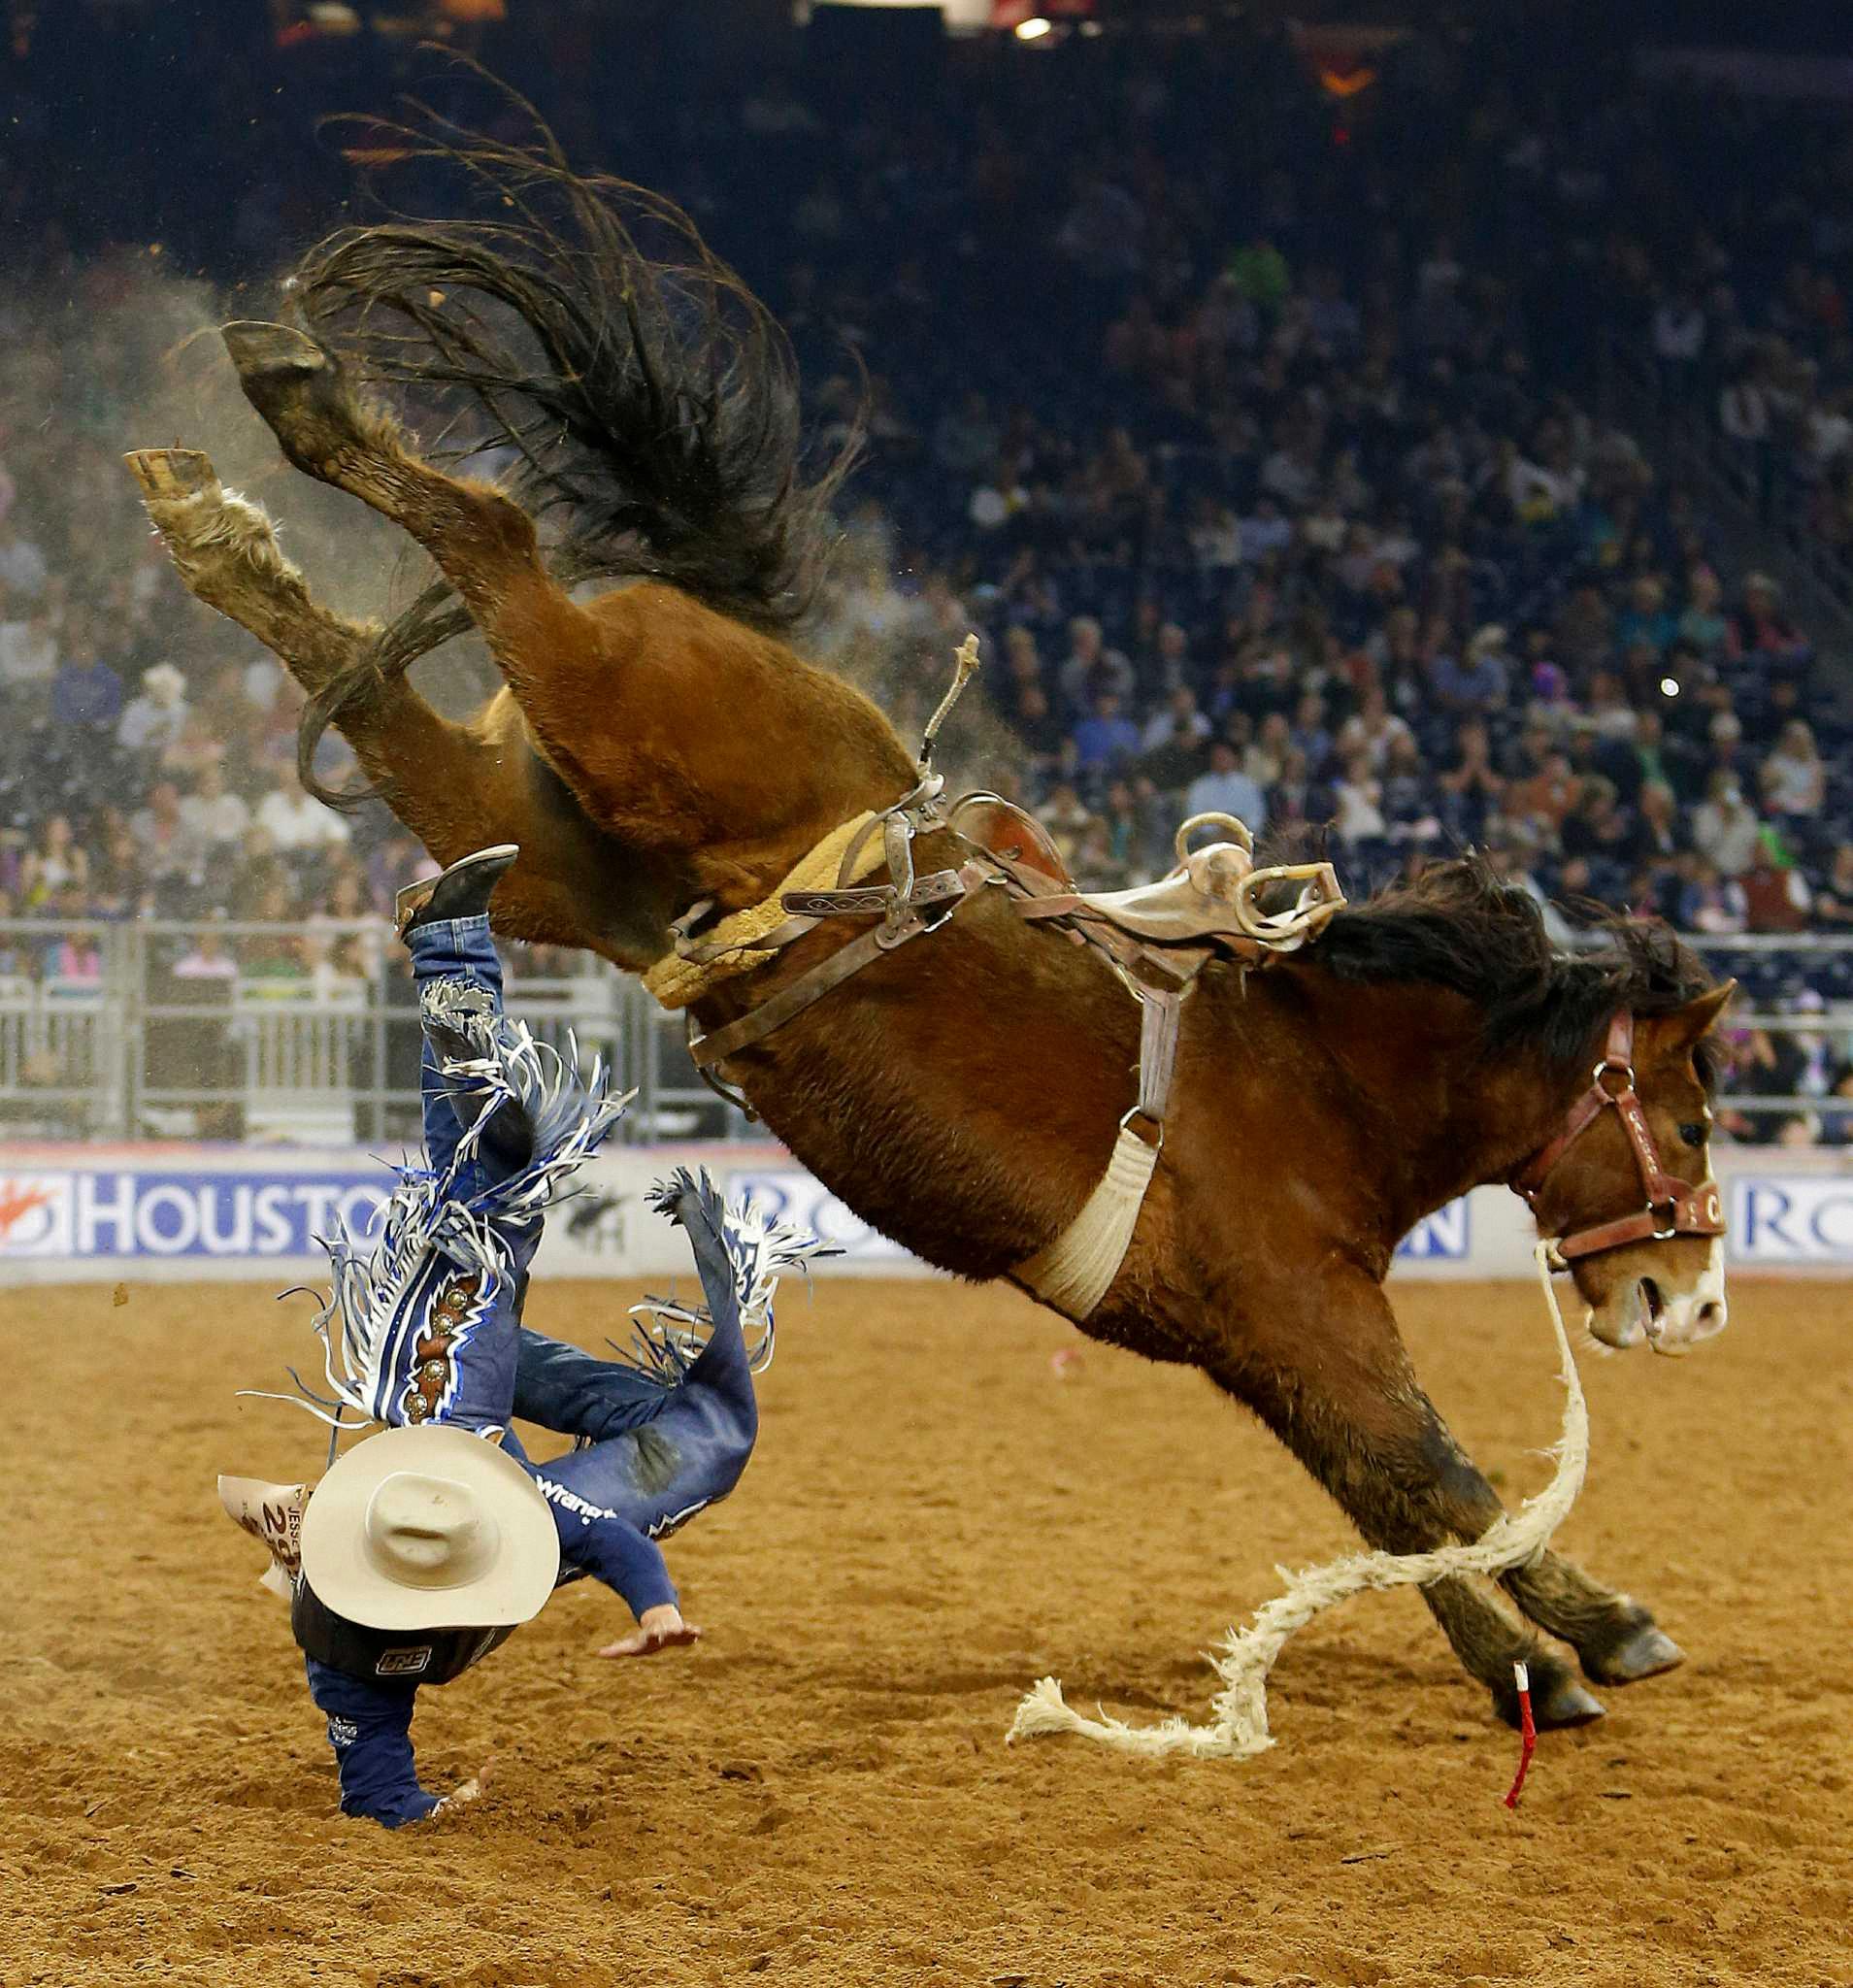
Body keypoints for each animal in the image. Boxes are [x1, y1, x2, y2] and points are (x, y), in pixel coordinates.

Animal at [130, 116, 1734, 1733]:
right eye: (1692, 1112)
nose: (1690, 1301)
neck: (1317, 1077)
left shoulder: (1260, 1342)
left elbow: (1394, 1500)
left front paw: (1556, 1646)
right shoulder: (1307, 1312)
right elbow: (1438, 1480)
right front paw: (1580, 1646)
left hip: (522, 839)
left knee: (383, 677)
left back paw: (220, 530)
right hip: (612, 713)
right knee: (495, 525)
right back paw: (285, 404)